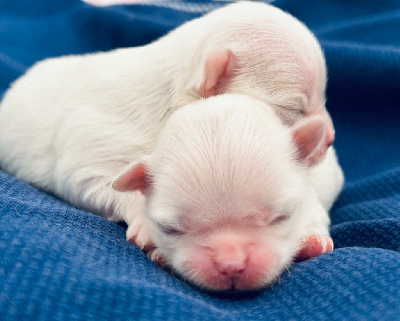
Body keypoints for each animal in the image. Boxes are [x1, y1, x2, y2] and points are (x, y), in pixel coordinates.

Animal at [111, 93, 344, 290]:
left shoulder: (312, 203)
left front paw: (312, 242)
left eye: (282, 216)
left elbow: (316, 219)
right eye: (170, 229)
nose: (230, 264)